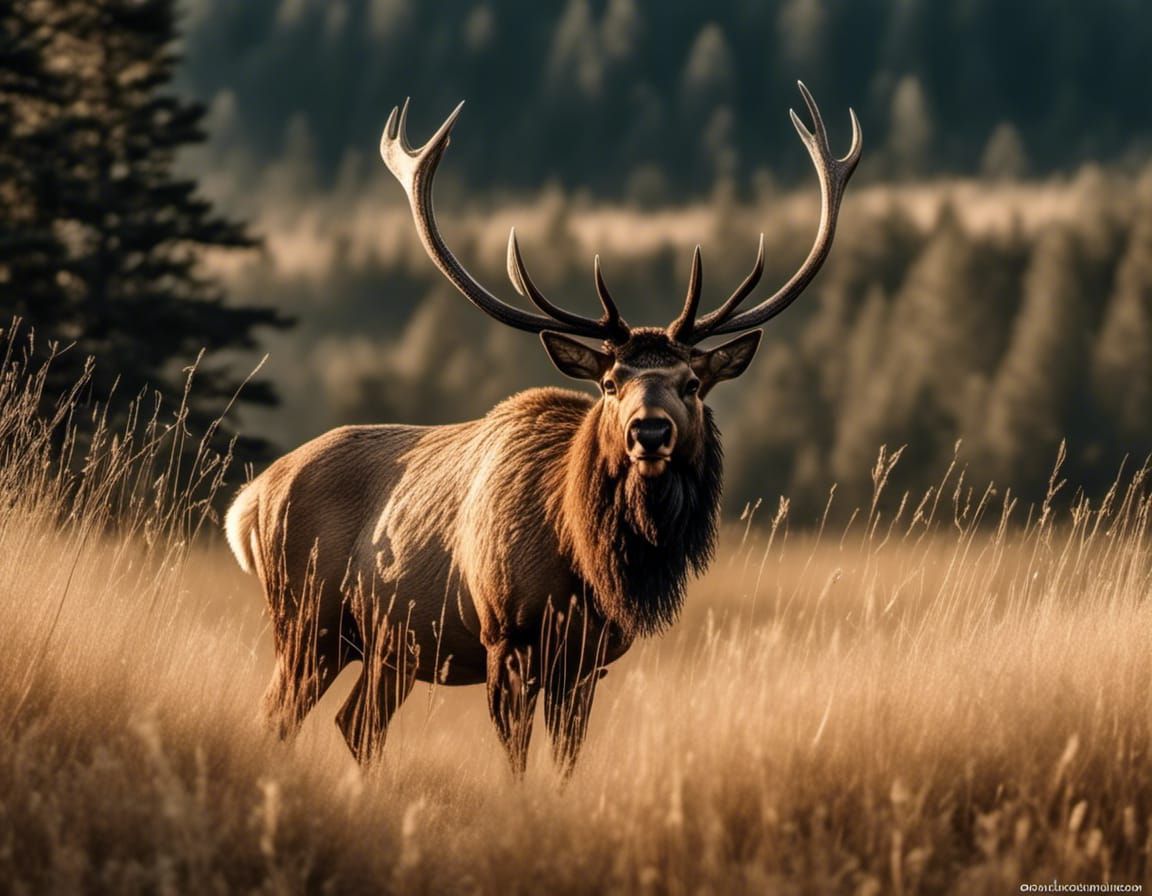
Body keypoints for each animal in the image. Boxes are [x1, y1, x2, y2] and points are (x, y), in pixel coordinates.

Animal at [224, 83, 861, 776]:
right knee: (277, 716)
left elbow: (564, 766)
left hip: (392, 645)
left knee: (357, 722)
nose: (650, 432)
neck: (582, 562)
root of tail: (248, 502)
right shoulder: (505, 637)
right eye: (609, 383)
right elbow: (517, 764)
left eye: (692, 382)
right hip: (306, 621)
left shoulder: (586, 663)